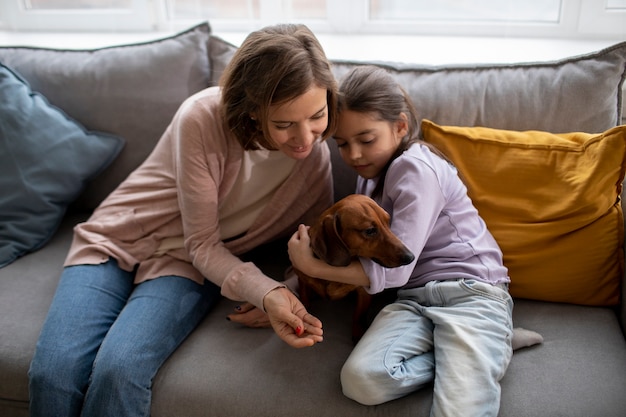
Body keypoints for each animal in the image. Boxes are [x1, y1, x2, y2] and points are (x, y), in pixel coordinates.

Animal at [294, 194, 414, 342]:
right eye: (370, 230)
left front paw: (358, 333)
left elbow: (358, 315)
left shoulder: (364, 293)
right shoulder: (302, 278)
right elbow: (304, 297)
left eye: (388, 221)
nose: (411, 257)